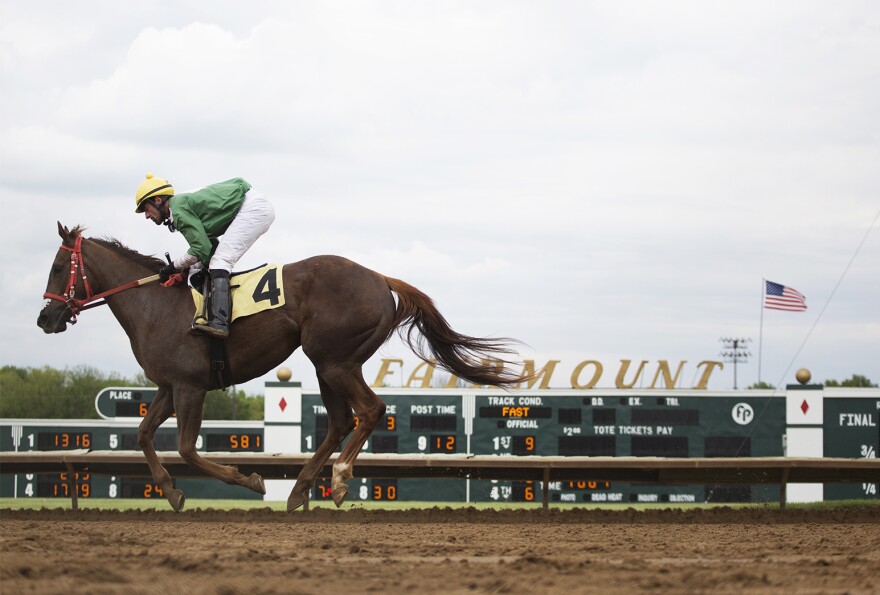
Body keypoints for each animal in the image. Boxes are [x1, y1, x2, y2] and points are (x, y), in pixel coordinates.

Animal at [38, 223, 529, 512]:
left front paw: (251, 480)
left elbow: (188, 449)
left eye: (60, 266)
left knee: (369, 411)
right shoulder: (167, 386)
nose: (45, 318)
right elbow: (142, 435)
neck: (153, 305)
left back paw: (338, 480)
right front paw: (171, 490)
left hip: (333, 359)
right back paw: (300, 489)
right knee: (339, 421)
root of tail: (380, 278)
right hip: (329, 364)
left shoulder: (190, 386)